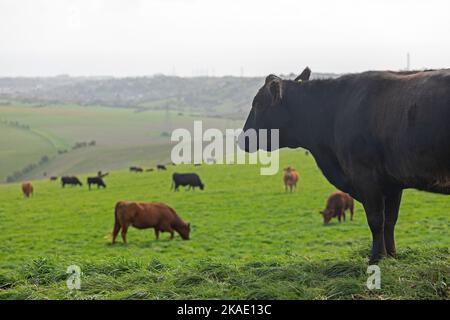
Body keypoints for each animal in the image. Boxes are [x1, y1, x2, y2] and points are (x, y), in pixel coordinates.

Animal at [241, 67, 450, 262]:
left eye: (258, 104)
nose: (241, 138)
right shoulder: (392, 183)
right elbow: (390, 220)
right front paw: (391, 255)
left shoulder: (366, 177)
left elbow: (376, 220)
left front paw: (377, 257)